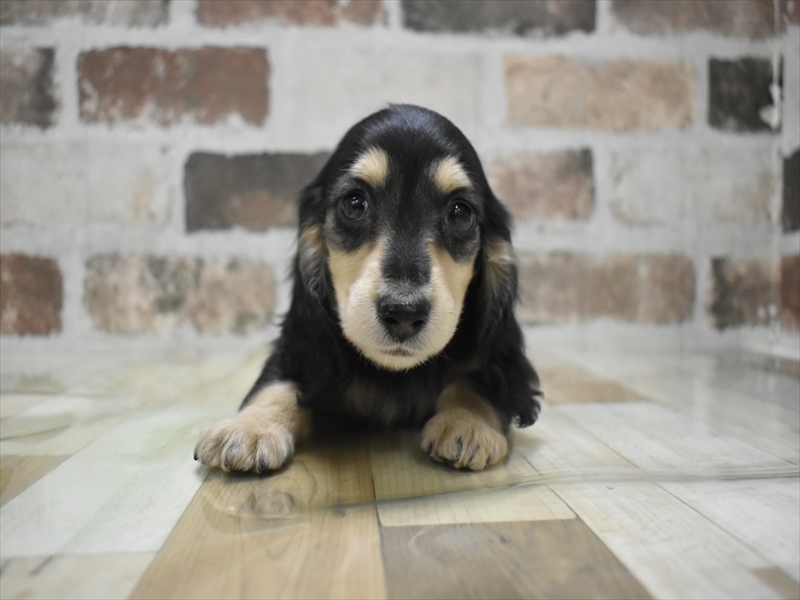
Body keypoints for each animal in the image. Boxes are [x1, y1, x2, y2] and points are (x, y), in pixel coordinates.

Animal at [194, 105, 541, 473]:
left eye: (460, 213)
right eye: (354, 204)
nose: (404, 314)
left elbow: (475, 380)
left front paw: (467, 423)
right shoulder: (302, 351)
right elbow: (278, 382)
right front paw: (249, 428)